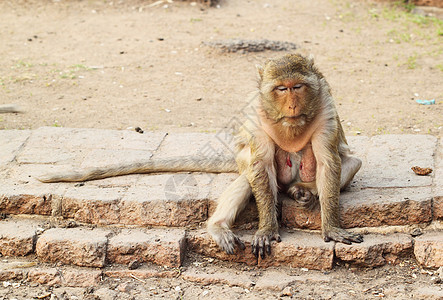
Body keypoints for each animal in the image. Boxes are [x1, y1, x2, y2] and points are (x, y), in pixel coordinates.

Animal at [39, 53, 364, 258]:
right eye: (281, 89)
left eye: (298, 87)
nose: (293, 105)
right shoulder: (256, 114)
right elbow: (259, 165)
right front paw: (267, 229)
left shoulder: (326, 107)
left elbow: (329, 162)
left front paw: (332, 227)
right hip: (251, 171)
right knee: (250, 176)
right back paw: (219, 226)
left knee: (349, 163)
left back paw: (303, 191)